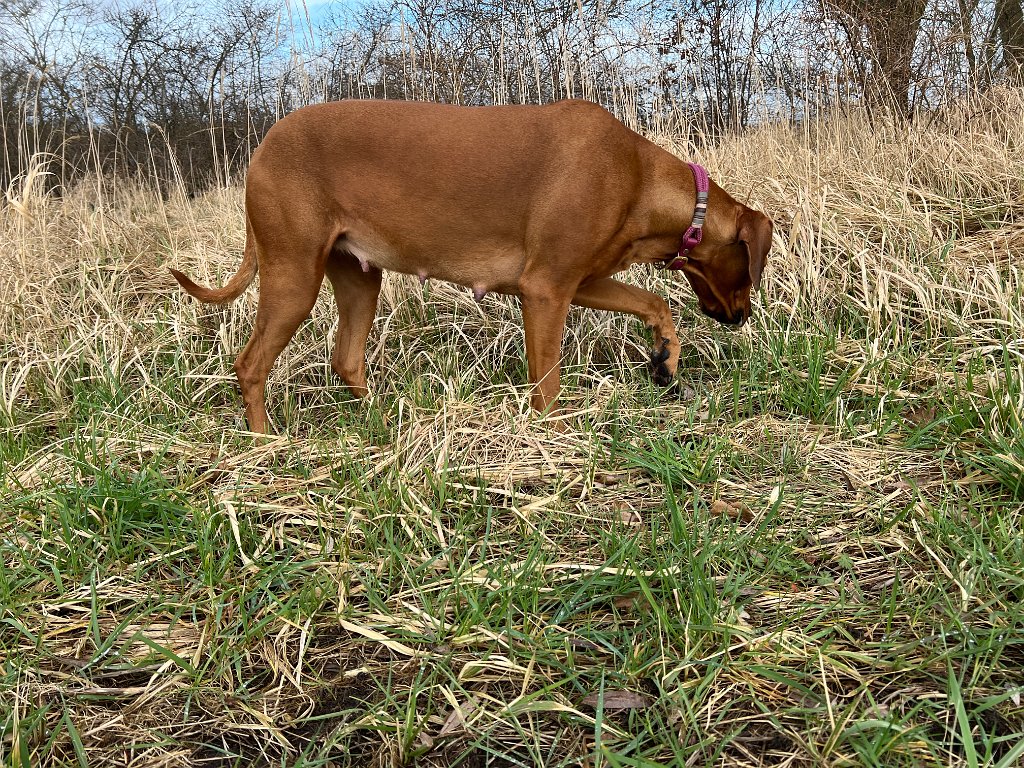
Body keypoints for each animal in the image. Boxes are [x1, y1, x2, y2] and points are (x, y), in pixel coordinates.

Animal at [170, 99, 773, 433]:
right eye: (749, 270)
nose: (742, 317)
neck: (638, 177)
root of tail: (262, 147)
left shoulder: (579, 281)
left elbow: (654, 301)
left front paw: (666, 357)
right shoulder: (545, 290)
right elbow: (547, 382)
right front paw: (552, 437)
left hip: (360, 276)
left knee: (346, 359)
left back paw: (381, 419)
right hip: (293, 275)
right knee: (250, 364)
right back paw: (264, 444)